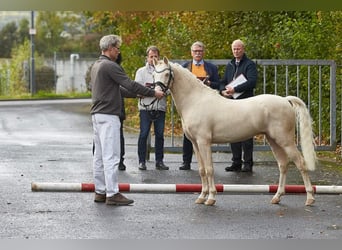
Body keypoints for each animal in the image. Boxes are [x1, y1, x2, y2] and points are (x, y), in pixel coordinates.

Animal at [154, 57, 316, 207]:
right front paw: (201, 197)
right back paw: (277, 197)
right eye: (155, 74)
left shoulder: (204, 142)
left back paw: (309, 198)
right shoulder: (195, 143)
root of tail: (285, 100)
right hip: (273, 140)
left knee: (301, 163)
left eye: (167, 74)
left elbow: (209, 169)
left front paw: (211, 198)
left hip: (285, 141)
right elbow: (201, 169)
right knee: (283, 165)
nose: (158, 92)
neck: (195, 101)